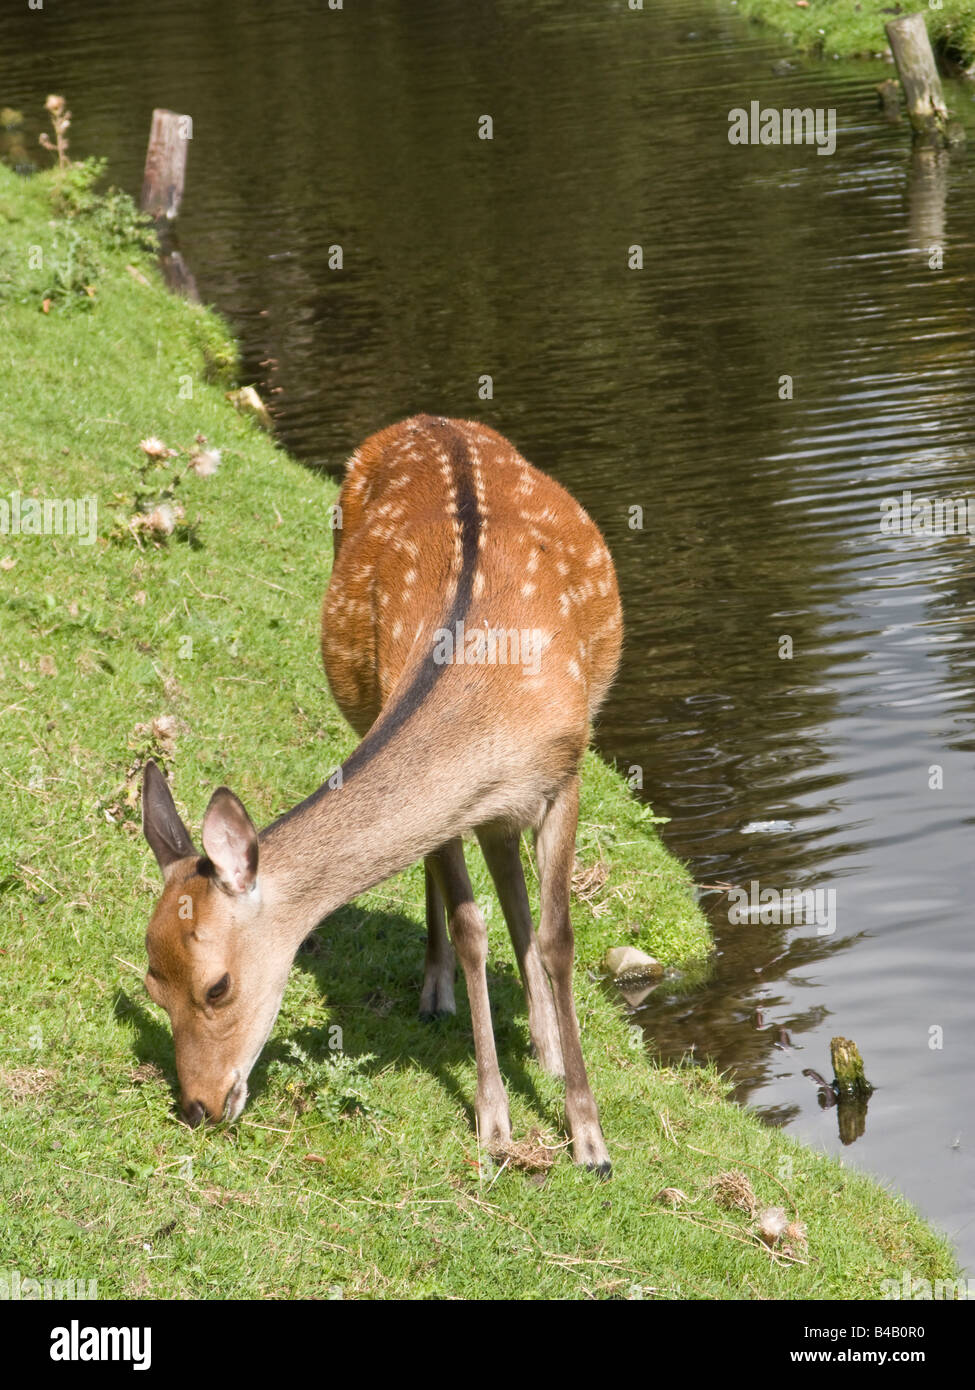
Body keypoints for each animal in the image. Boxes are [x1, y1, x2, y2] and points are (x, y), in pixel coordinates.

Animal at [140, 411, 620, 1173]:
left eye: (216, 986)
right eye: (151, 984)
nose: (197, 1106)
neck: (495, 698)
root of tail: (432, 420)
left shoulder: (566, 774)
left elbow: (557, 939)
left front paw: (589, 1140)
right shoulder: (454, 804)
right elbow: (470, 925)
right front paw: (495, 1124)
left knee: (513, 885)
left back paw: (543, 1044)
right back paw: (437, 993)